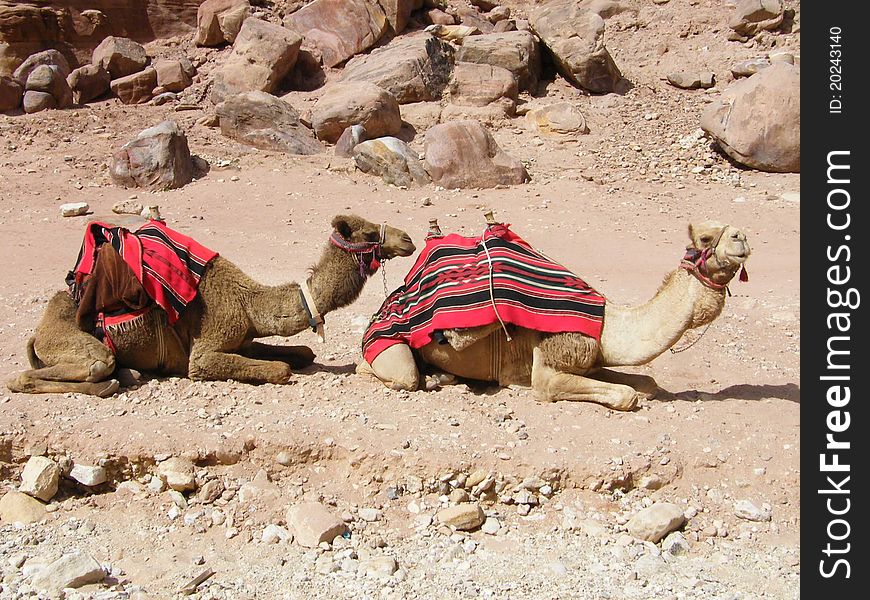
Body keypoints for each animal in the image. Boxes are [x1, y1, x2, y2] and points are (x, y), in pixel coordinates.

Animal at [6, 216, 416, 398]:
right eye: (367, 232)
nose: (408, 239)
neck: (248, 303)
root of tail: (38, 333)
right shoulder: (206, 349)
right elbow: (280, 368)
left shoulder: (243, 336)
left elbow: (301, 352)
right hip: (74, 341)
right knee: (67, 370)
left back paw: (129, 373)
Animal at [358, 220, 752, 412]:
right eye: (705, 238)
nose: (742, 237)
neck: (605, 323)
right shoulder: (549, 364)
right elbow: (625, 395)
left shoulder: (589, 359)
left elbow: (647, 384)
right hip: (384, 345)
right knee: (395, 374)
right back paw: (433, 378)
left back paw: (444, 376)